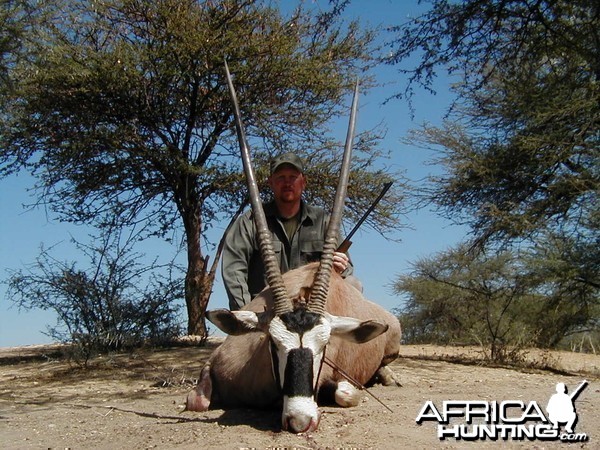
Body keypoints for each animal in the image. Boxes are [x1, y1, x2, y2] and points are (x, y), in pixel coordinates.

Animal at [185, 63, 404, 432]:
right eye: (273, 343)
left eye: (324, 345)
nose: (300, 420)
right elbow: (196, 401)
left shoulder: (342, 381)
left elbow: (346, 394)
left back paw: (388, 377)